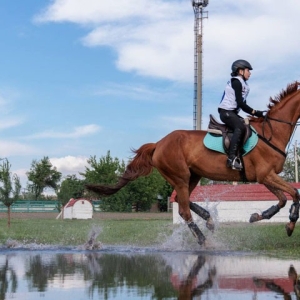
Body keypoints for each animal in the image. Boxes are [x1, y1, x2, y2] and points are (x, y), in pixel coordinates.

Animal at [85, 81, 300, 245]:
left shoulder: (265, 176)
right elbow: (294, 193)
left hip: (192, 175)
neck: (272, 132)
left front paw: (259, 217)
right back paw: (203, 239)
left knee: (184, 200)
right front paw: (290, 223)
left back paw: (208, 219)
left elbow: (283, 199)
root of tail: (158, 144)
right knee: (183, 209)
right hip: (180, 176)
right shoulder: (265, 175)